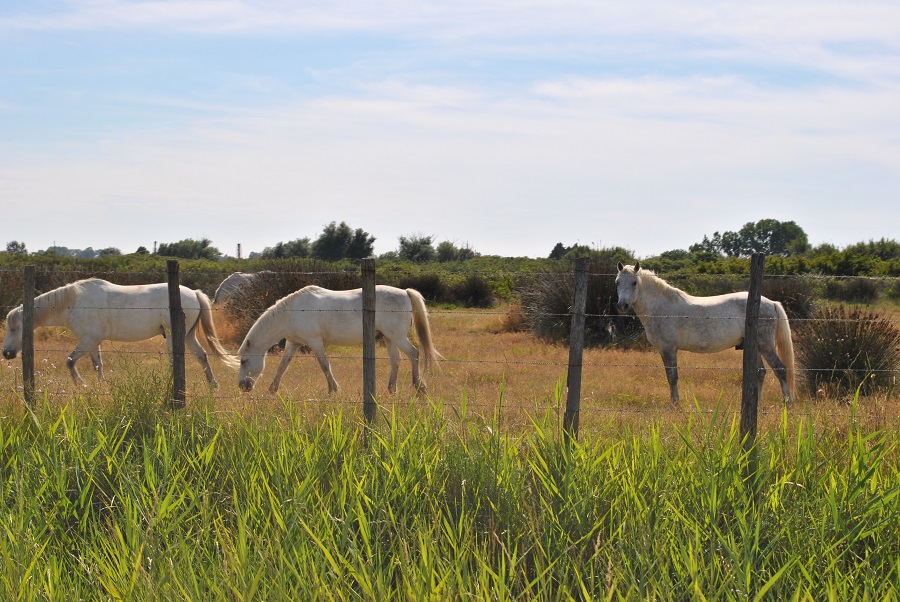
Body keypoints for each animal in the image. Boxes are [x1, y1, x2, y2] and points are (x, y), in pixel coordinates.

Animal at [1, 276, 239, 384]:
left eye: (14, 327)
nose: (6, 353)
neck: (74, 302)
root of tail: (194, 293)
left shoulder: (88, 340)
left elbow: (70, 361)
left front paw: (80, 384)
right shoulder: (92, 342)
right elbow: (97, 365)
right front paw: (101, 386)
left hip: (175, 335)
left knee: (177, 359)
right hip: (188, 335)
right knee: (202, 356)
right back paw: (212, 385)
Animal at [236, 284, 440, 394]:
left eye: (244, 361)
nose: (242, 386)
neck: (292, 312)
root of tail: (405, 292)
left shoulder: (315, 341)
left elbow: (324, 365)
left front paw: (333, 389)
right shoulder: (294, 343)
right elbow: (282, 366)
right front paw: (272, 390)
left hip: (397, 336)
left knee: (414, 353)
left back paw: (419, 386)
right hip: (389, 337)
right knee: (396, 360)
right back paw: (392, 389)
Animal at [612, 262, 796, 404]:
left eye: (634, 282)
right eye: (617, 282)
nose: (622, 306)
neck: (661, 308)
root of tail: (771, 302)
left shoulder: (668, 348)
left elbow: (672, 377)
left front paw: (675, 405)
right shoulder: (663, 350)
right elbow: (670, 377)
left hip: (765, 345)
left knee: (780, 369)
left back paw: (788, 404)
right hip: (755, 346)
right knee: (760, 373)